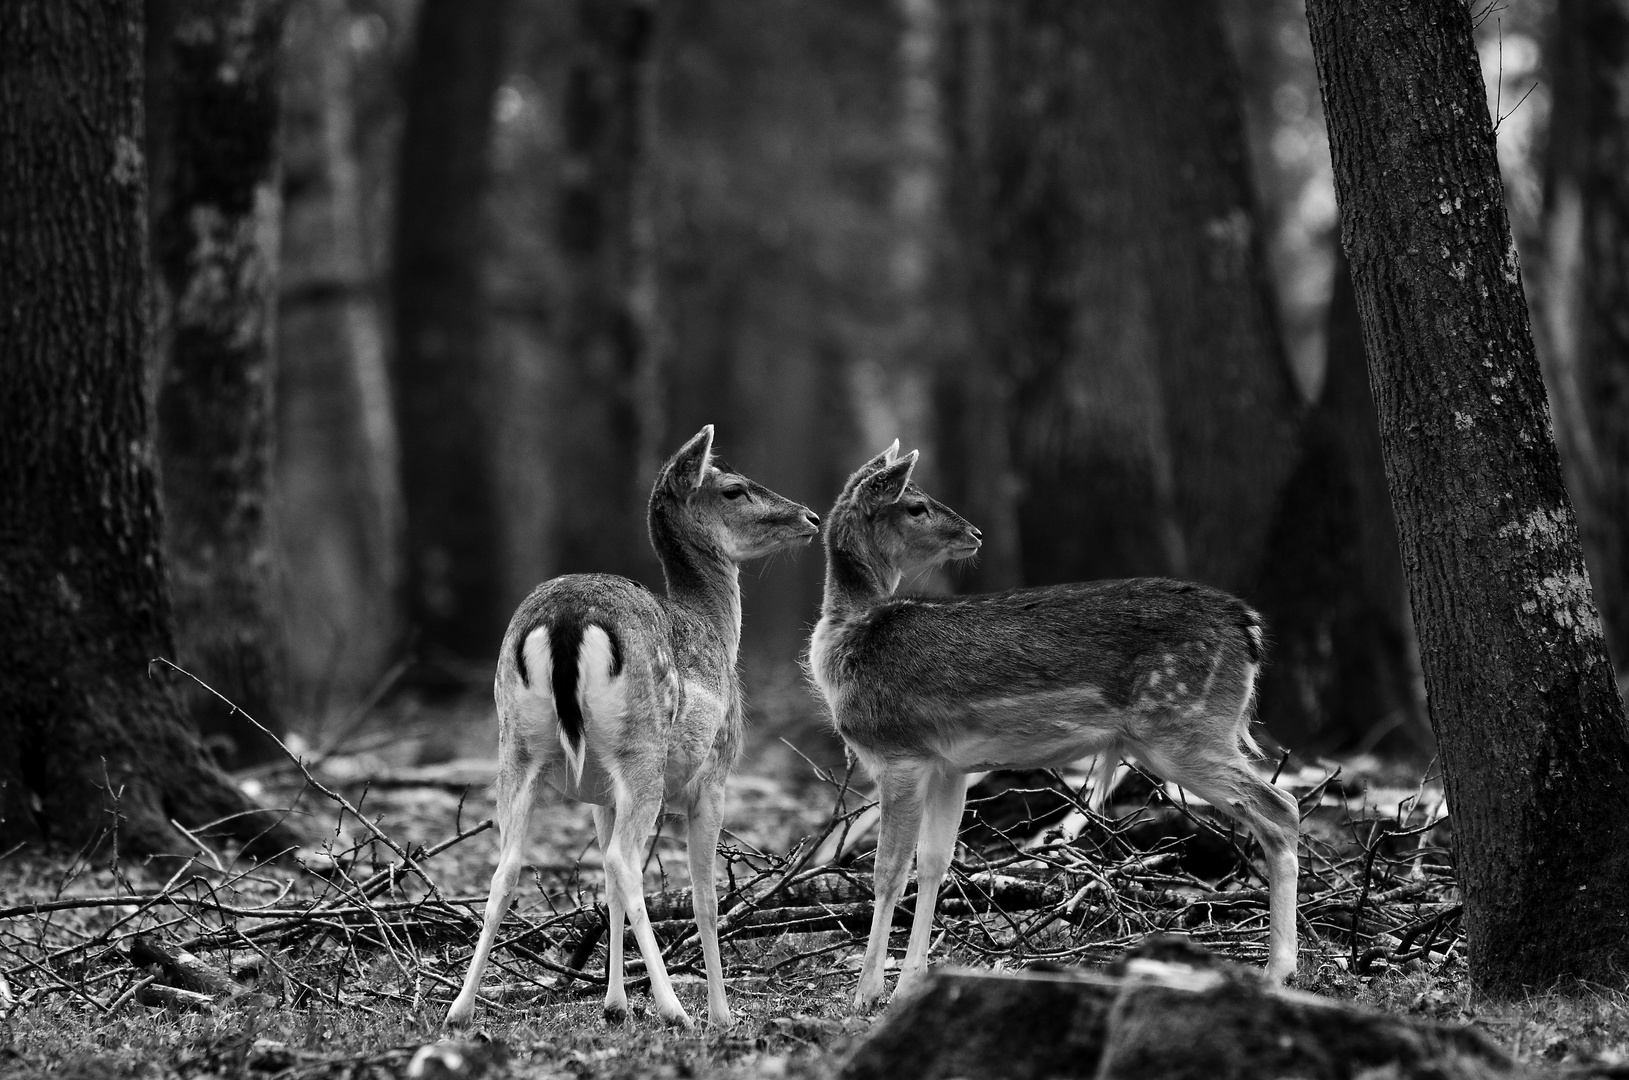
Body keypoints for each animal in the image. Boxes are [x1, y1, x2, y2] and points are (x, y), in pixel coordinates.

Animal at [446, 423, 821, 1029]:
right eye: (734, 488)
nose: (810, 516)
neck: (717, 634)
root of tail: (568, 621)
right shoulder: (715, 774)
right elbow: (705, 900)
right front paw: (721, 1014)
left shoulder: (600, 793)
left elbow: (604, 885)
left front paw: (615, 1004)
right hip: (642, 752)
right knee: (626, 862)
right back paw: (675, 1009)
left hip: (516, 749)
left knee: (509, 868)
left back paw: (459, 1010)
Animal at [811, 443, 1296, 1009]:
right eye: (916, 505)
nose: (976, 533)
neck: (847, 640)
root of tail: (1250, 627)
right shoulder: (948, 765)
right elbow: (934, 862)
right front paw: (910, 983)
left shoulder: (899, 751)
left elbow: (887, 871)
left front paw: (865, 994)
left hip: (1185, 728)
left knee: (1281, 807)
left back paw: (1278, 971)